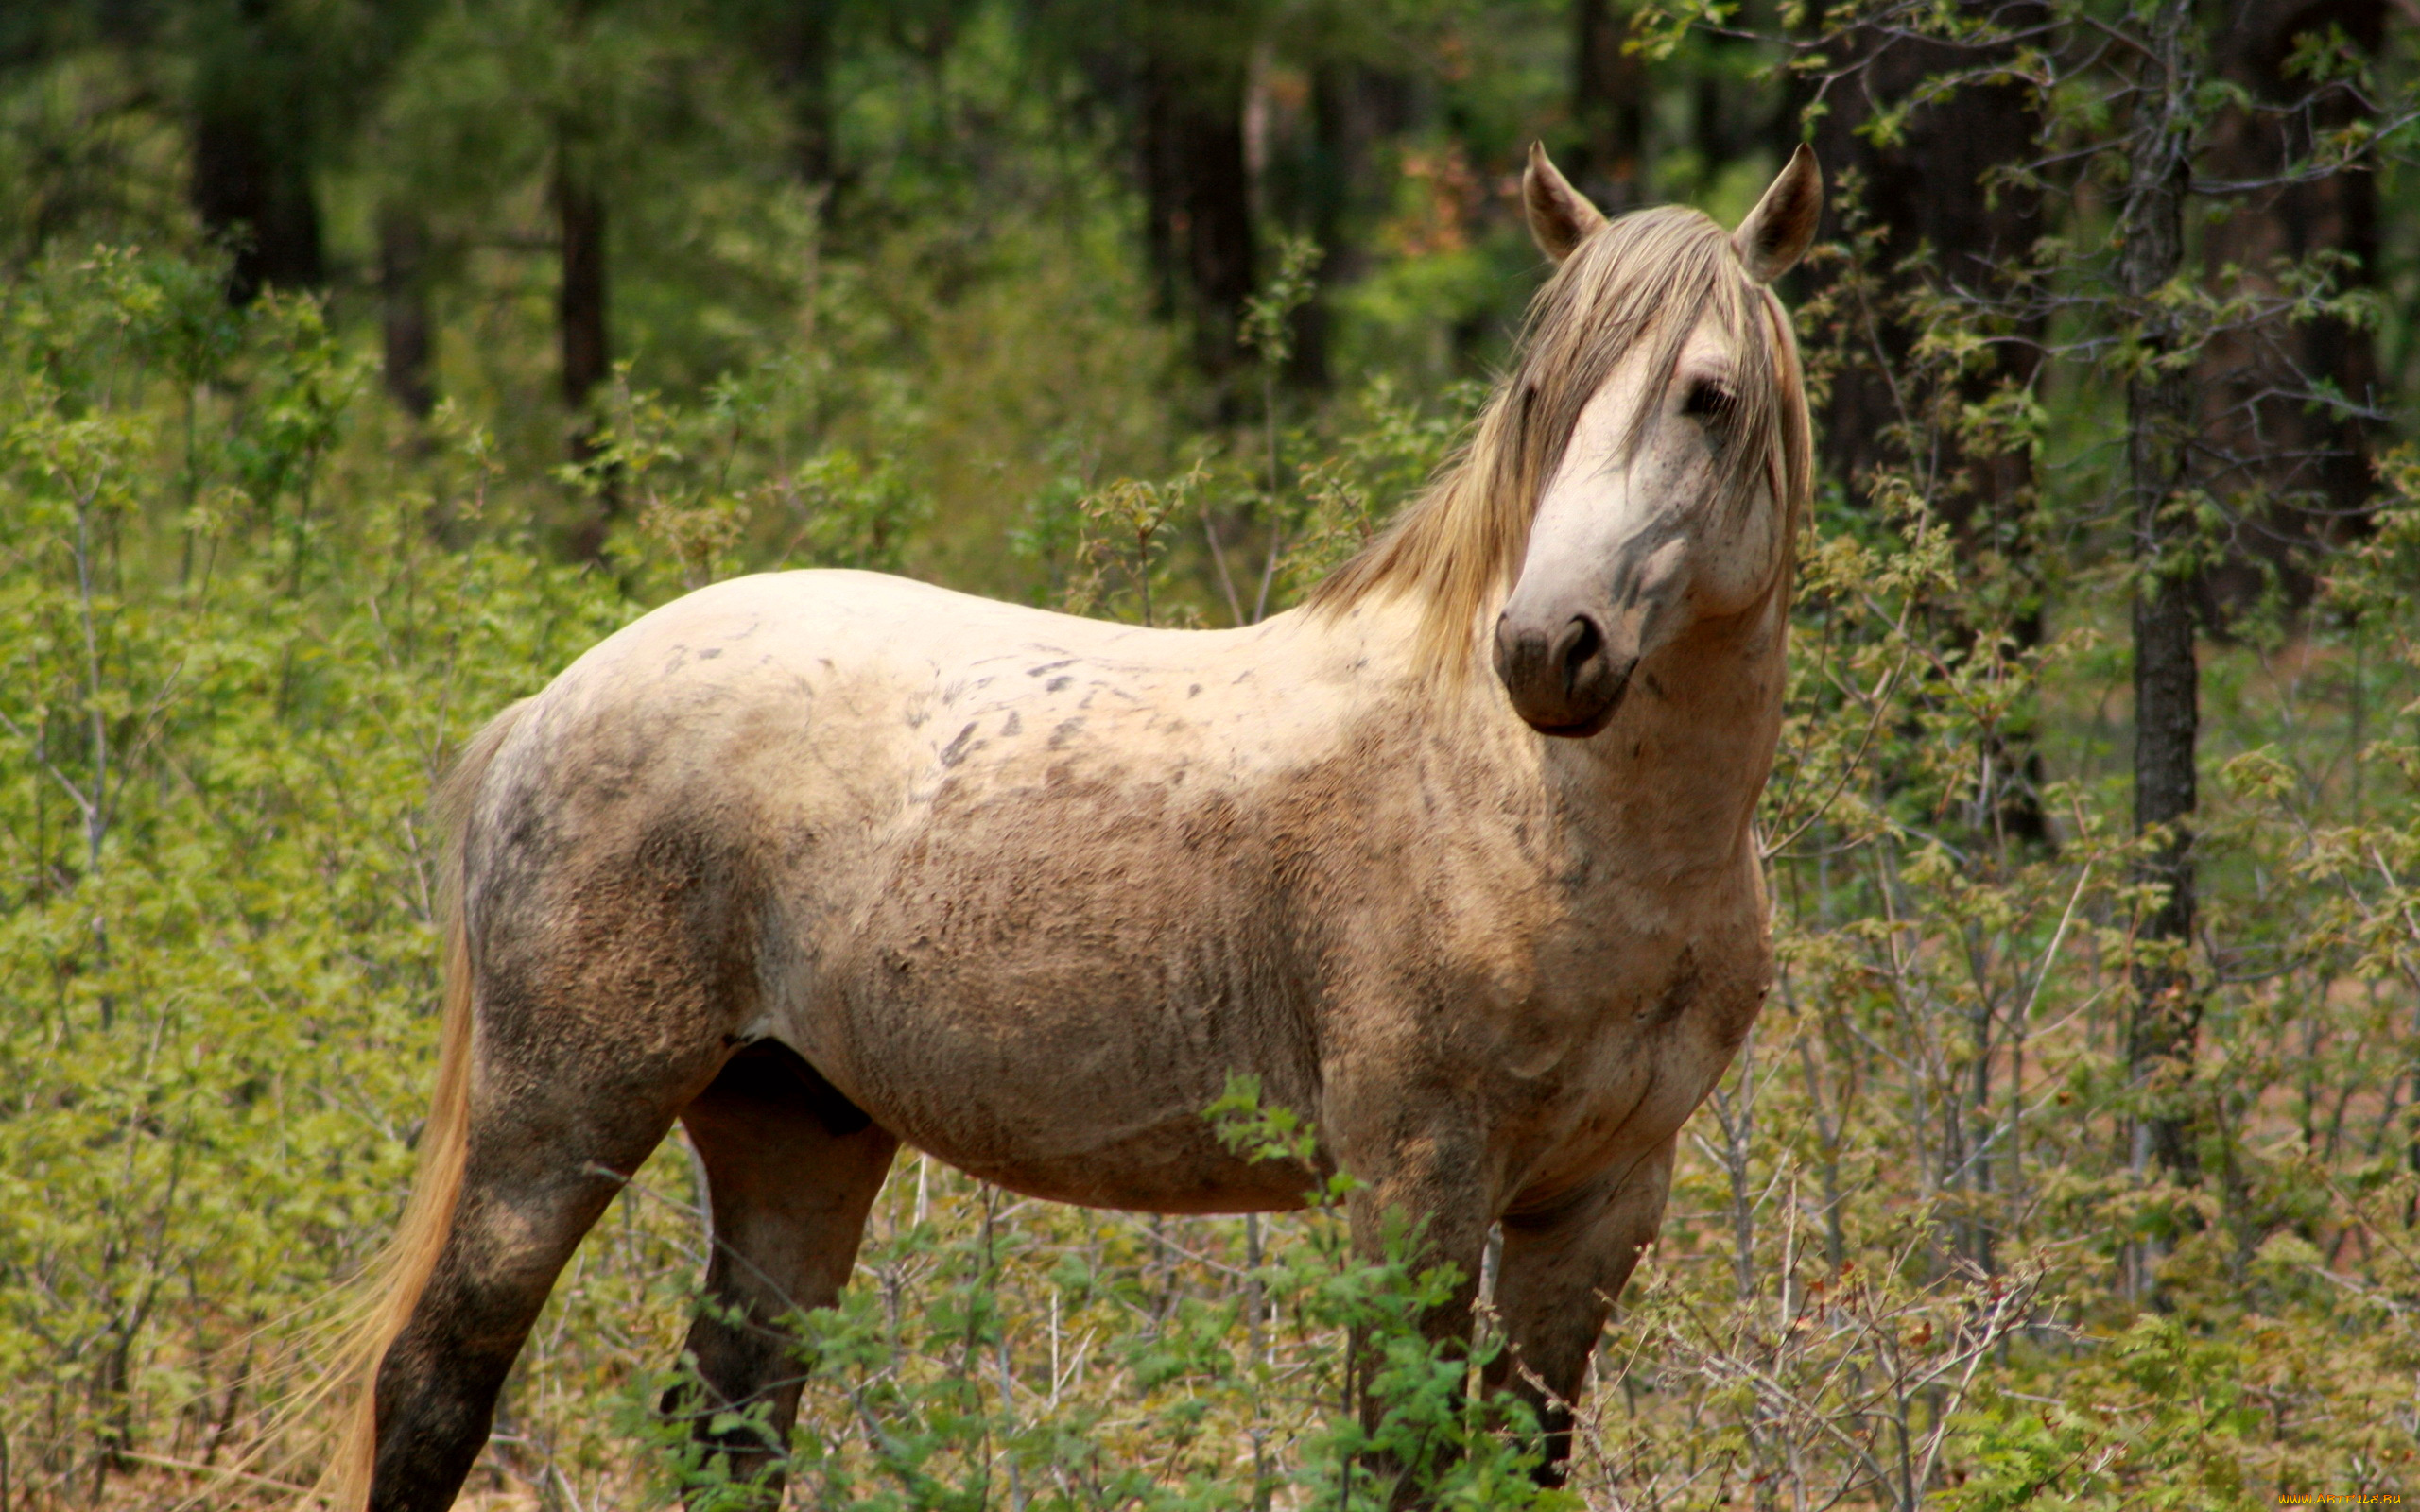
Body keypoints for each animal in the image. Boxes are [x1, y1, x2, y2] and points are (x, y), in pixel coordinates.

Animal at [321, 144, 1820, 1509]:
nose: (1546, 648)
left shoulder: (1599, 1206)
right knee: (437, 1385)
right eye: (1538, 394)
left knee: (730, 1419)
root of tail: (557, 699)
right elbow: (1394, 1465)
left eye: (1709, 396)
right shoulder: (1416, 1192)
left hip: (792, 1132)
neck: (1548, 822)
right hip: (559, 1118)